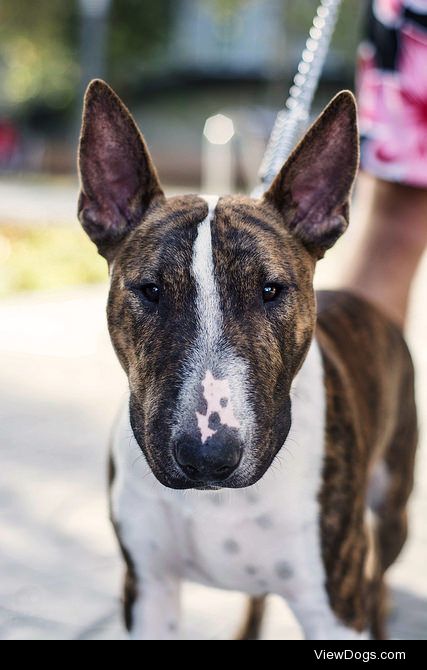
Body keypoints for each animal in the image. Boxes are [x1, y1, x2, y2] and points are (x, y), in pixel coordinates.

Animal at [77, 81, 418, 644]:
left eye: (270, 290)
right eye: (150, 290)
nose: (208, 457)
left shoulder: (336, 604)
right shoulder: (147, 588)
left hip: (392, 507)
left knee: (382, 578)